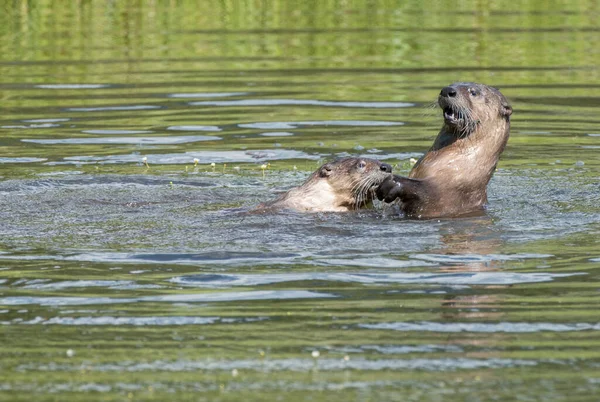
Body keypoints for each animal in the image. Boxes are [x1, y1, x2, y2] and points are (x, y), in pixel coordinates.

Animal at [376, 82, 510, 220]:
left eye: (474, 92)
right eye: (453, 84)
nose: (447, 90)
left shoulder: (446, 194)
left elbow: (424, 193)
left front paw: (392, 182)